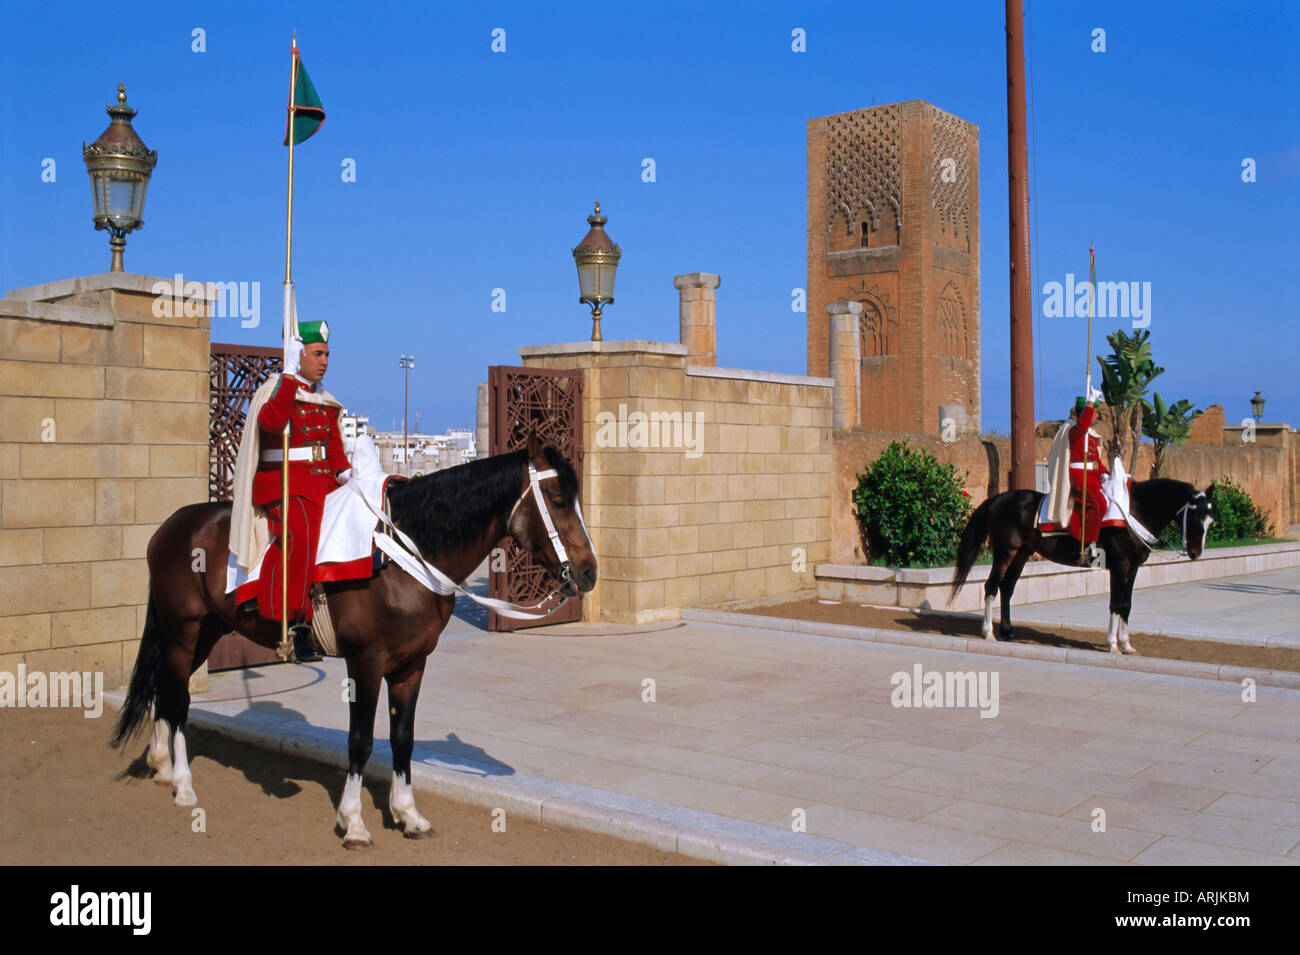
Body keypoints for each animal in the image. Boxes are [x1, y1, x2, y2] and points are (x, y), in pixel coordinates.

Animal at [111, 436, 598, 847]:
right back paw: (182, 783)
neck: (404, 556)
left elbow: (403, 738)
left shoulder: (412, 665)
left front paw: (407, 814)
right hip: (183, 629)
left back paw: (161, 765)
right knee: (176, 697)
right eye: (558, 501)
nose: (590, 571)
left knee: (167, 691)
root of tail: (171, 525)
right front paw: (354, 821)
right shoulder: (364, 662)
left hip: (206, 631)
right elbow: (361, 740)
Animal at [951, 478, 1211, 657]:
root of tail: (996, 500)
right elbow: (1116, 603)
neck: (1132, 513)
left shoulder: (1134, 567)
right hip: (1006, 552)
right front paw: (1113, 645)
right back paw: (989, 633)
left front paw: (1127, 644)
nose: (1195, 553)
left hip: (1022, 553)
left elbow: (1127, 604)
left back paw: (1008, 632)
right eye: (1194, 517)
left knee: (1006, 588)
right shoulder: (1120, 565)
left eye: (1210, 520)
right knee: (991, 586)